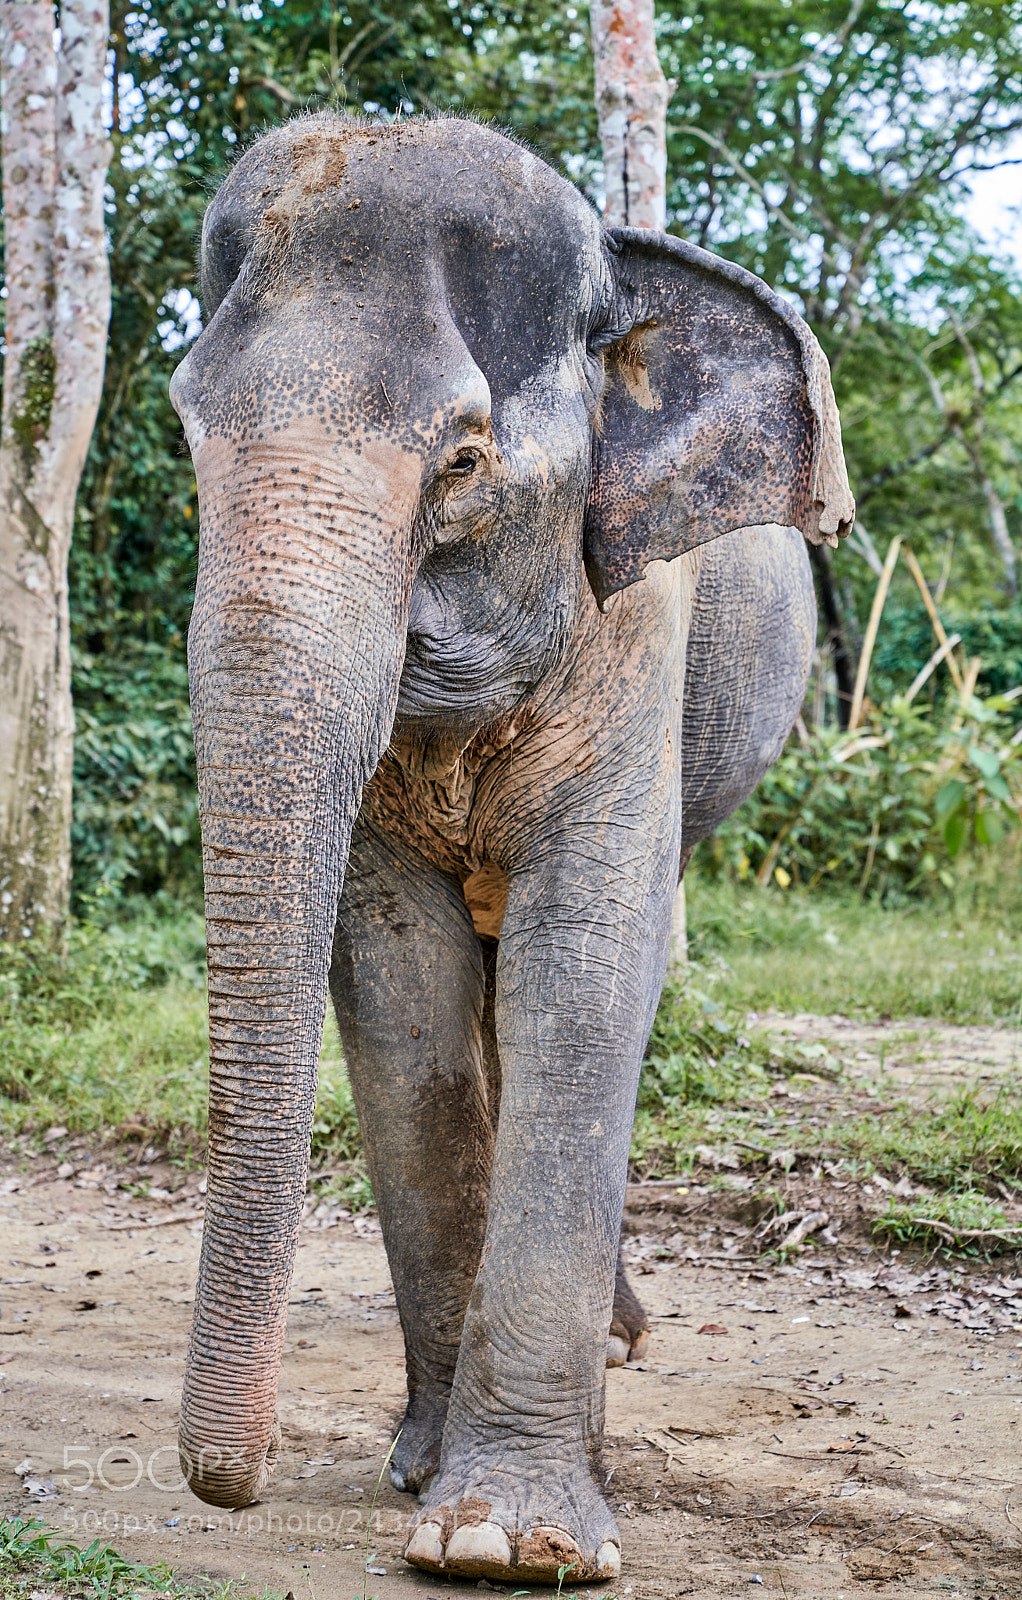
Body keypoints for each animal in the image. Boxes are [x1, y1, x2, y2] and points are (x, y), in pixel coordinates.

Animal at [169, 111, 853, 1585]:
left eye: (463, 461)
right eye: (190, 434)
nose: (225, 1487)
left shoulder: (635, 632)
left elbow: (586, 969)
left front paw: (505, 1540)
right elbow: (399, 993)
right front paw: (426, 1477)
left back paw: (619, 1345)